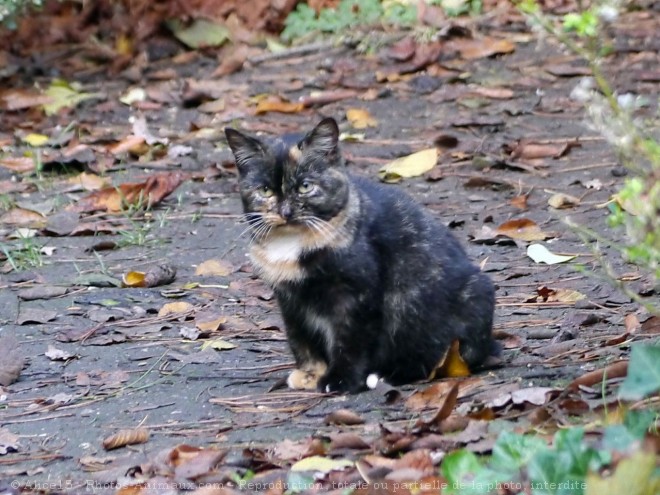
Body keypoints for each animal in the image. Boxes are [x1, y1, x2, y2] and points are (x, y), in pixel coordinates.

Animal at [226, 118, 496, 394]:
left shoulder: (357, 295)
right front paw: (310, 373)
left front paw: (340, 380)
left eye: (305, 186)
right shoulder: (289, 300)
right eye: (265, 191)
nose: (286, 212)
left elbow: (350, 341)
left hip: (435, 304)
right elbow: (301, 338)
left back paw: (386, 375)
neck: (292, 244)